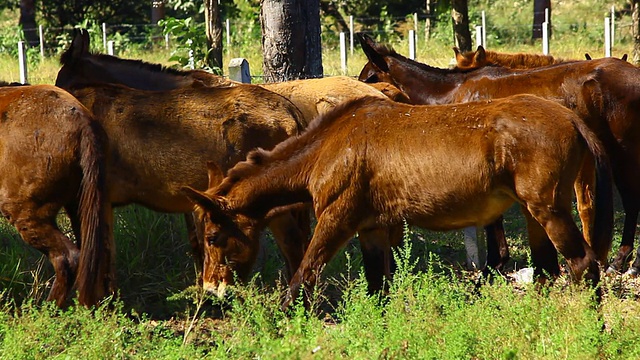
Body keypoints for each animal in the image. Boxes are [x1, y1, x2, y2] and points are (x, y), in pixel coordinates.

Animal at [184, 94, 608, 310]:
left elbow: (303, 275)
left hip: (549, 210)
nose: (211, 290)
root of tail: (571, 117)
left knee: (583, 265)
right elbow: (378, 287)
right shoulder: (372, 228)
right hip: (535, 214)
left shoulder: (337, 220)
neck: (326, 149)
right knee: (549, 270)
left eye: (213, 238)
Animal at [356, 33, 640, 276]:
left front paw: (492, 265)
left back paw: (623, 261)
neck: (451, 94)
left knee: (631, 200)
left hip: (623, 152)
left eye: (369, 77)